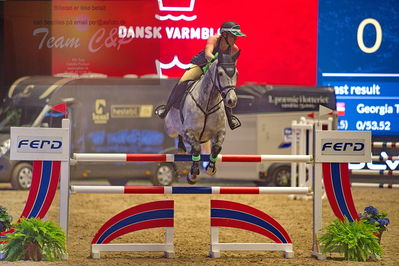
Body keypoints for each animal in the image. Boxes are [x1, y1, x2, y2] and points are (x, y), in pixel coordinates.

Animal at [163, 51, 239, 185]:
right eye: (220, 73)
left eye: (237, 74)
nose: (232, 101)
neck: (207, 104)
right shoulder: (189, 132)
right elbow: (197, 149)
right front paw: (192, 175)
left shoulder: (220, 132)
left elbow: (216, 148)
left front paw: (210, 169)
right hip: (170, 129)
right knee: (178, 134)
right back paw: (181, 148)